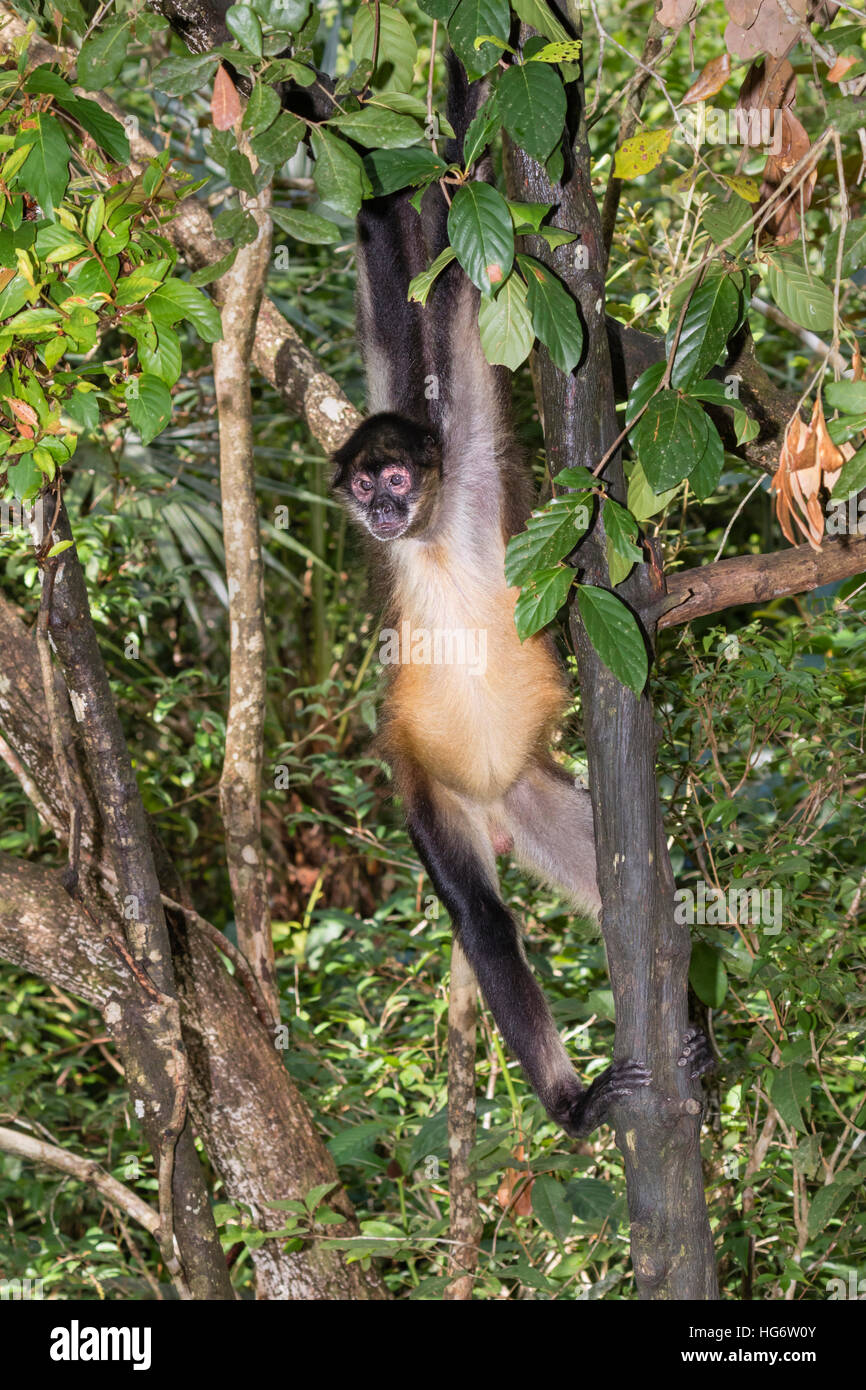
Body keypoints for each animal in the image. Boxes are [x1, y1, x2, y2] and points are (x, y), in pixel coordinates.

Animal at [332, 56, 711, 1139]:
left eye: (395, 480)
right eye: (363, 489)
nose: (381, 510)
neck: (430, 537)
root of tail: (498, 795)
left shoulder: (453, 438)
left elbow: (452, 290)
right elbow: (411, 292)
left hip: (538, 798)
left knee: (648, 905)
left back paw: (690, 1023)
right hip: (437, 790)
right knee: (484, 919)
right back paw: (575, 1105)